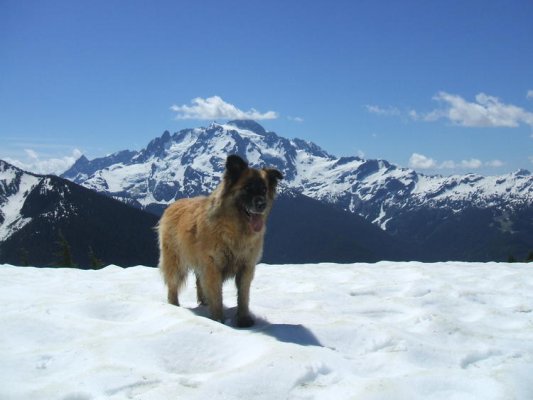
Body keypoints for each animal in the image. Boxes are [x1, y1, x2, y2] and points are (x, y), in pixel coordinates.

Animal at [157, 155, 282, 326]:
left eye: (264, 190)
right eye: (247, 188)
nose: (262, 204)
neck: (235, 229)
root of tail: (172, 205)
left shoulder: (246, 266)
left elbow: (243, 296)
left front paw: (243, 319)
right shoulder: (212, 265)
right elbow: (216, 295)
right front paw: (218, 320)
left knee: (199, 282)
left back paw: (203, 302)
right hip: (176, 260)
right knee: (173, 284)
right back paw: (174, 305)